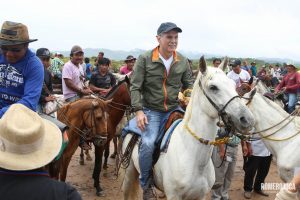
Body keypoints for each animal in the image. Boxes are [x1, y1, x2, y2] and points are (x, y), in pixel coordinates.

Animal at [120, 56, 254, 200]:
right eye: (213, 87)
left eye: (233, 85)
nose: (247, 119)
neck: (192, 155)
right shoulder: (173, 195)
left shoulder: (200, 196)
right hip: (129, 173)